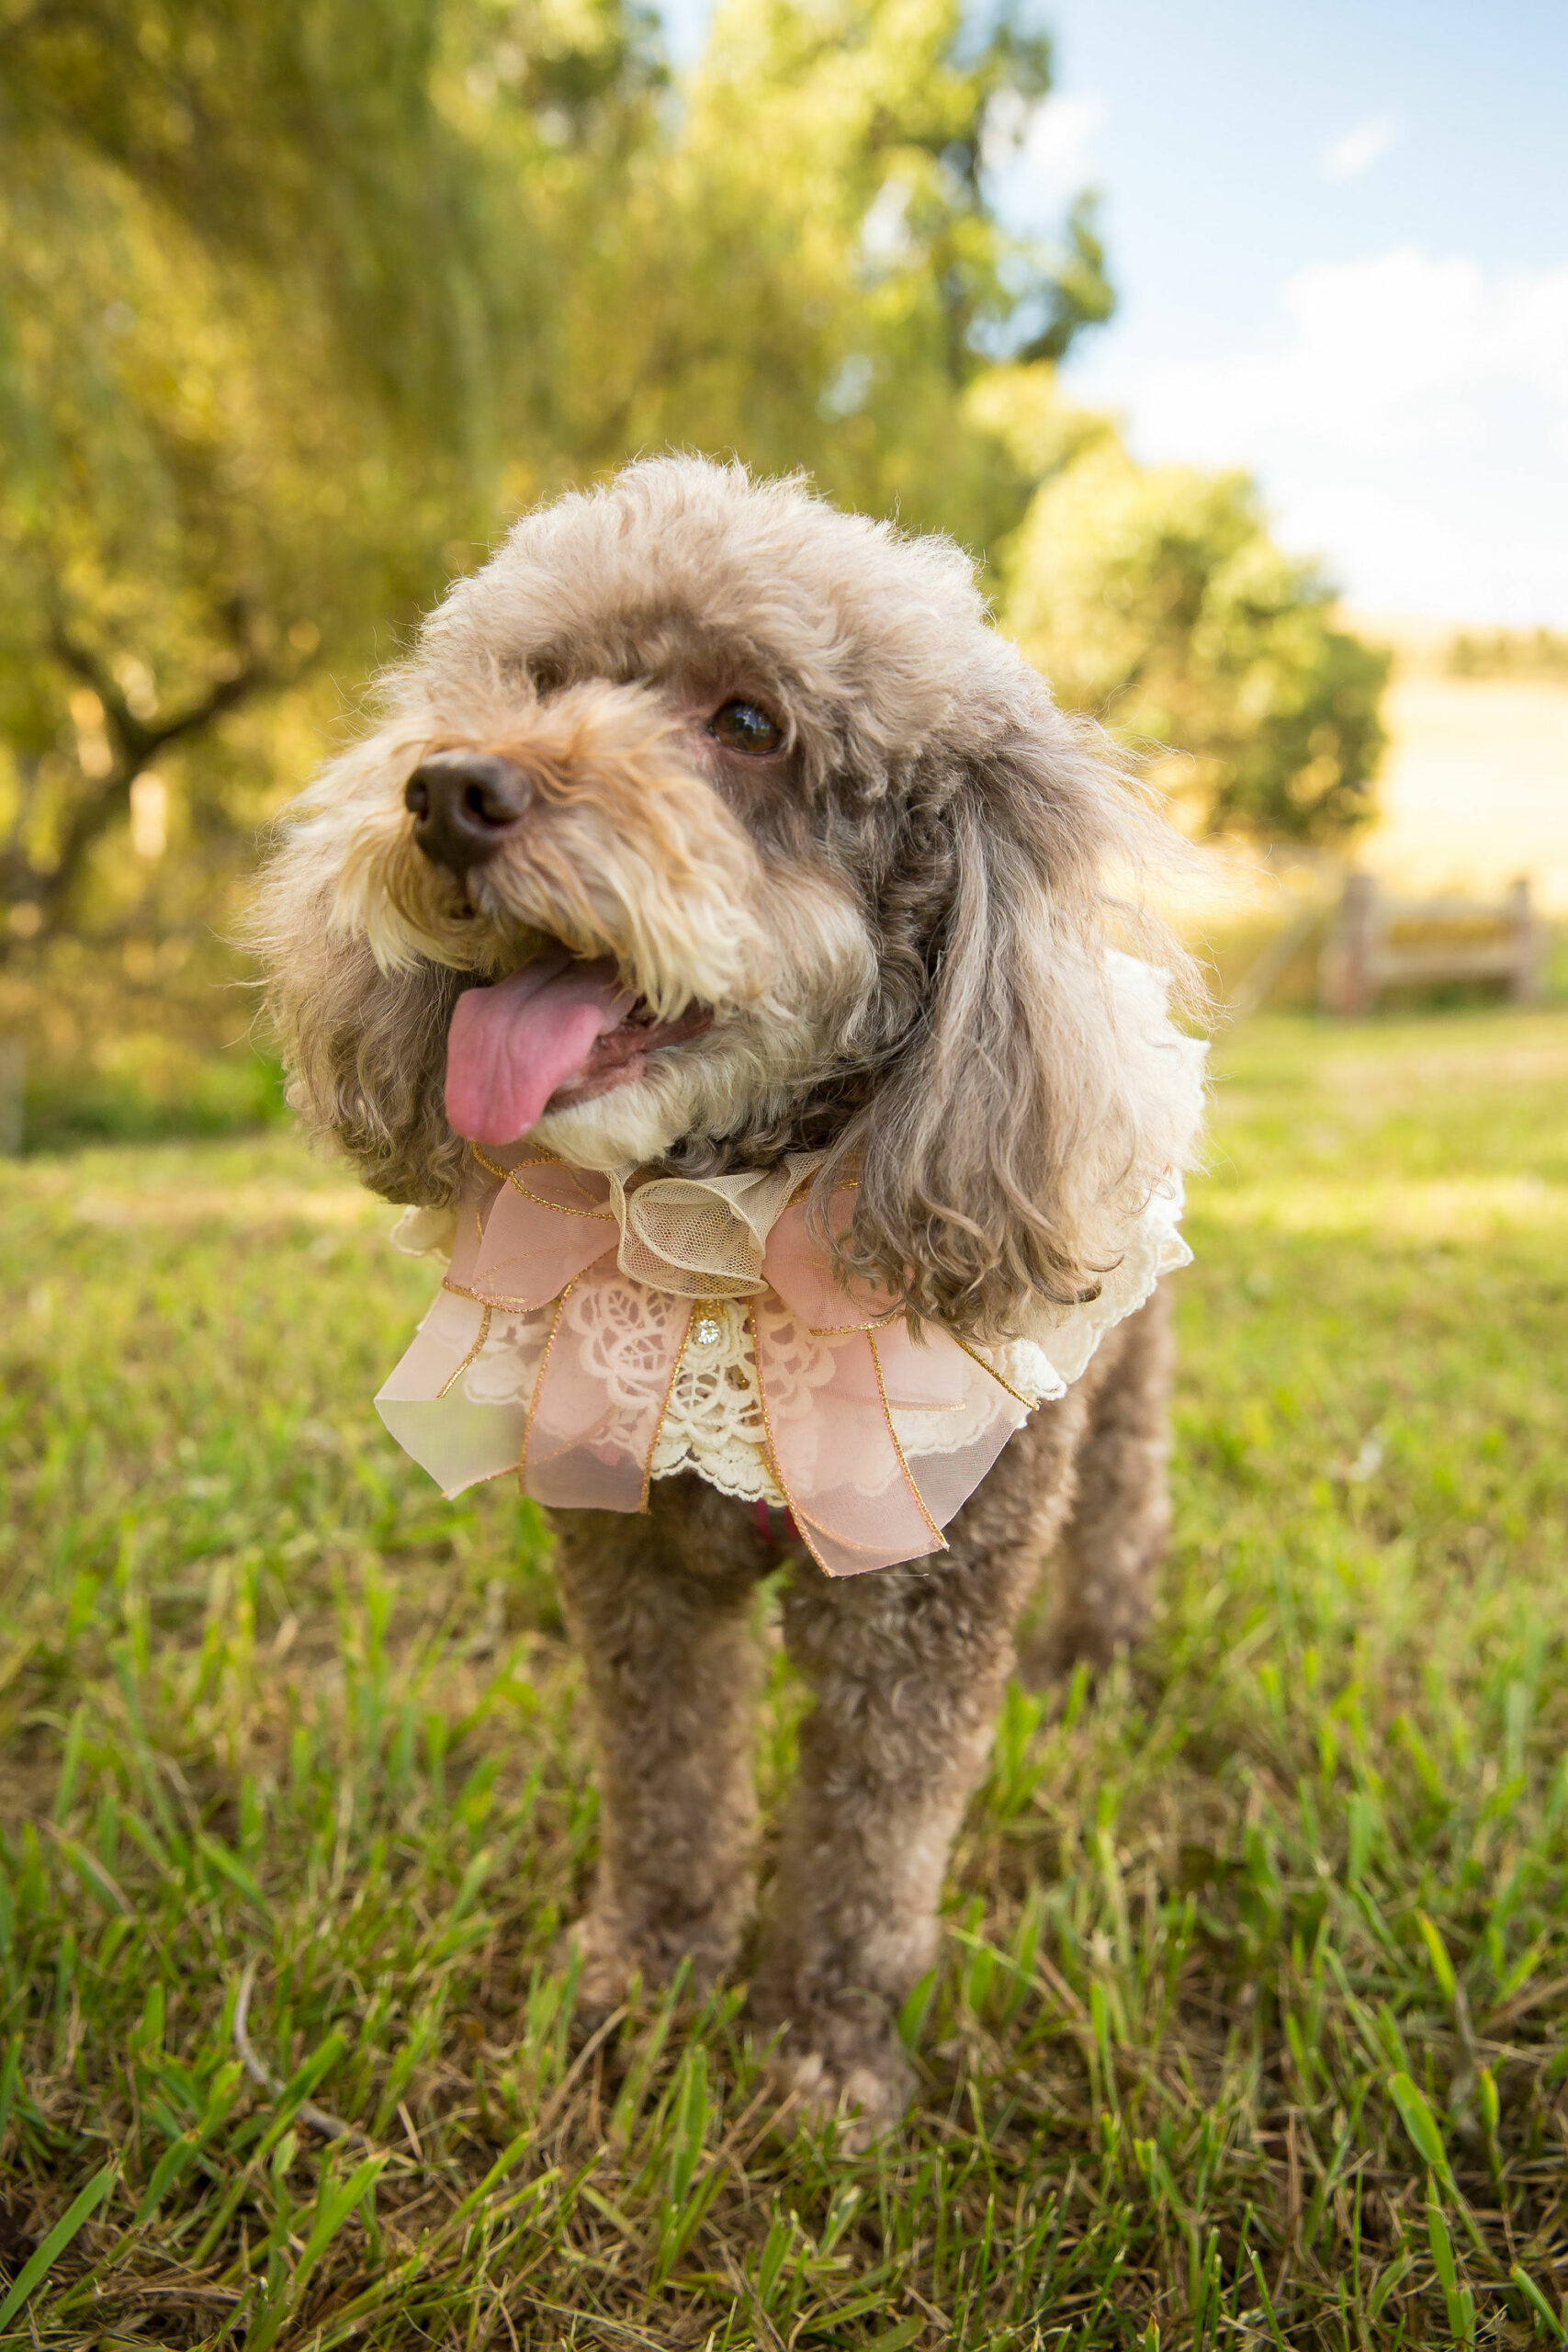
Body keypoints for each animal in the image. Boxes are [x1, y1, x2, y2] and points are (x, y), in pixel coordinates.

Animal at [261, 458, 1213, 2154]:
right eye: (534, 682)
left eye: (750, 722)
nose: (446, 792)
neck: (727, 1250)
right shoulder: (637, 1570)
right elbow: (669, 1786)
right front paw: (645, 1982)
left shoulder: (920, 1611)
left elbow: (868, 1849)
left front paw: (826, 2056)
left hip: (1120, 1389)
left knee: (1124, 1505)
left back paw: (1098, 1656)